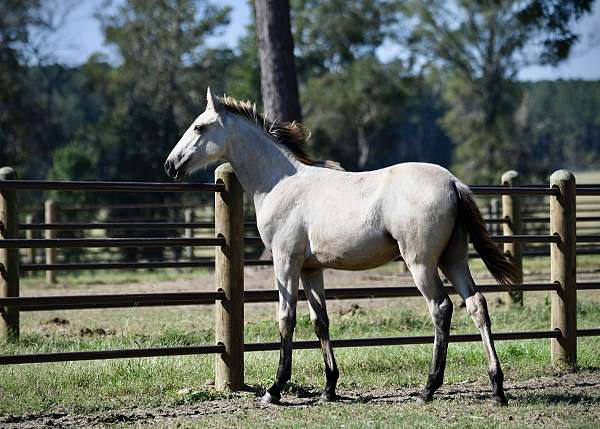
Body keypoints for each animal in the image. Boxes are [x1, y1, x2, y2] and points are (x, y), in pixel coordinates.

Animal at [166, 88, 516, 404]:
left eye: (199, 127)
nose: (170, 165)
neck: (281, 183)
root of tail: (453, 183)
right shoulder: (311, 268)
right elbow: (319, 321)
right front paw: (329, 388)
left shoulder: (285, 261)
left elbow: (286, 318)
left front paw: (275, 389)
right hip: (453, 259)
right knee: (476, 304)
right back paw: (497, 388)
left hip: (421, 264)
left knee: (441, 308)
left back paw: (428, 389)